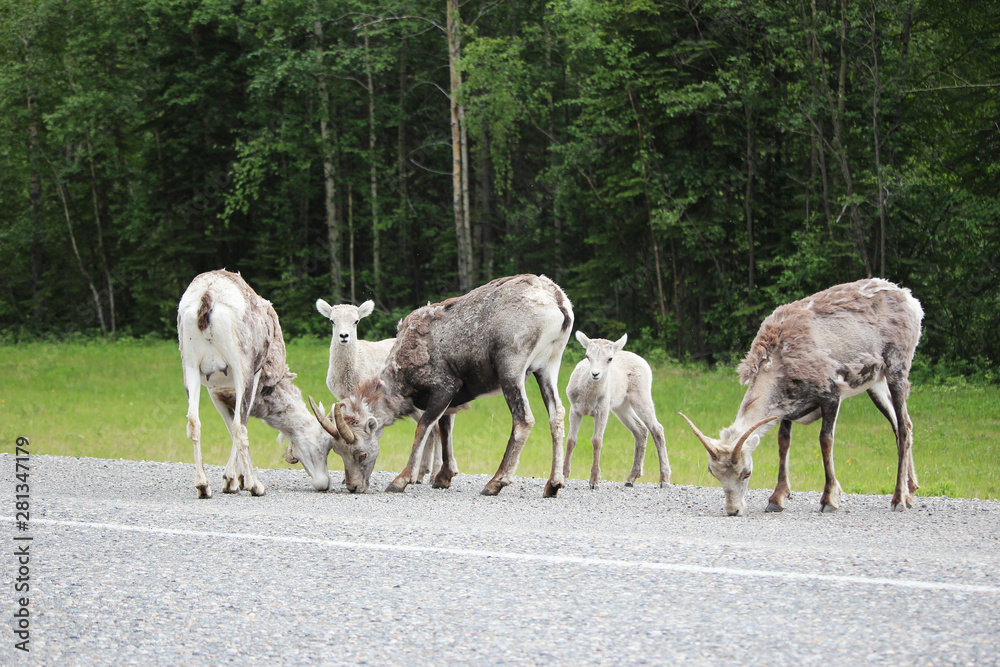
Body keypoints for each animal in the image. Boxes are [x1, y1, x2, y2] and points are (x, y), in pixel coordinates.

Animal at [177, 270, 377, 497]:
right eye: (326, 445)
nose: (323, 484)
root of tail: (207, 295)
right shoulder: (252, 380)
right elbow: (240, 425)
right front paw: (238, 481)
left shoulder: (215, 391)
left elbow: (230, 427)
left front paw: (232, 481)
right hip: (242, 370)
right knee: (238, 426)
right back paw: (256, 486)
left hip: (191, 368)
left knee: (194, 422)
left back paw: (203, 486)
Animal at [315, 298, 445, 482]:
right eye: (332, 321)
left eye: (356, 321)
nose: (344, 336)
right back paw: (420, 474)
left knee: (436, 428)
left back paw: (434, 474)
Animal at [564, 331, 671, 489]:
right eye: (587, 355)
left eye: (609, 359)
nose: (595, 374)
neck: (588, 396)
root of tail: (644, 362)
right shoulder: (575, 410)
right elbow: (571, 440)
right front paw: (562, 477)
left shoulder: (602, 411)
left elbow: (597, 441)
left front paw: (594, 481)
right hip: (622, 406)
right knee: (640, 429)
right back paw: (631, 478)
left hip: (641, 396)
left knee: (657, 429)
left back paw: (664, 480)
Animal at [678, 278, 923, 516]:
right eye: (714, 473)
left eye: (746, 473)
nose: (733, 510)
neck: (780, 361)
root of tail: (911, 301)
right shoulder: (787, 411)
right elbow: (783, 443)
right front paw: (776, 499)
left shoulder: (831, 397)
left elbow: (825, 440)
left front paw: (829, 500)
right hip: (876, 385)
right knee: (901, 424)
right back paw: (911, 491)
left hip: (896, 370)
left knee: (902, 427)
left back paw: (899, 499)